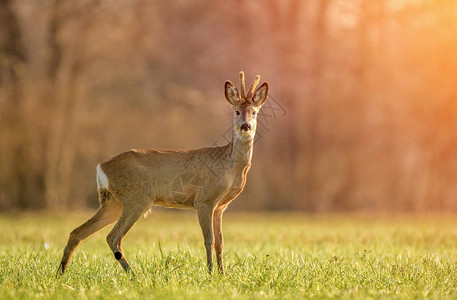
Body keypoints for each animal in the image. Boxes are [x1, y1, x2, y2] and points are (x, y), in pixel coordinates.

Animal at [58, 71, 268, 276]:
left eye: (254, 112)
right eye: (237, 111)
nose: (246, 126)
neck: (229, 165)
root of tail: (101, 167)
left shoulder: (220, 207)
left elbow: (221, 243)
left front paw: (222, 273)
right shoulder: (204, 200)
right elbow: (210, 240)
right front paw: (210, 274)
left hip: (113, 202)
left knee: (77, 232)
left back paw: (60, 273)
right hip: (137, 198)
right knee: (112, 237)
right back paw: (134, 275)